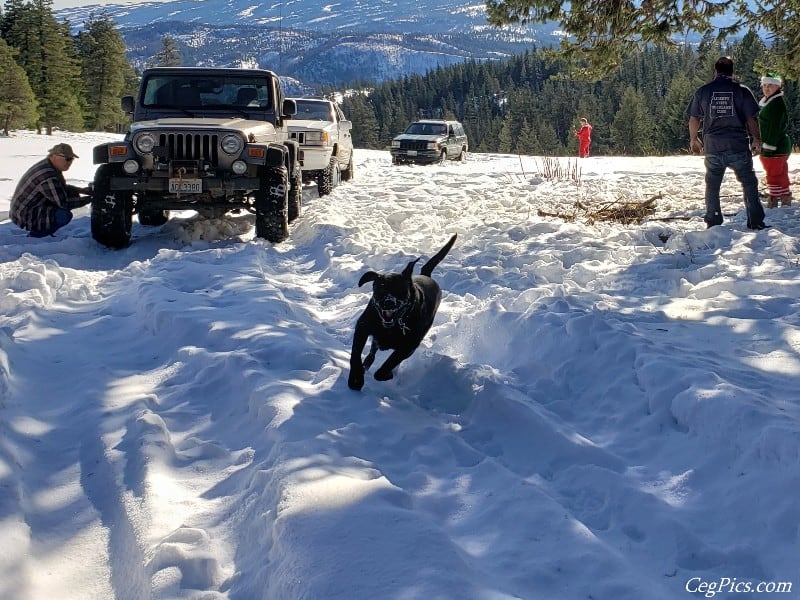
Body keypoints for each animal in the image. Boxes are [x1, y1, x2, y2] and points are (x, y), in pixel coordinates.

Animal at [348, 232, 460, 392]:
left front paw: (386, 375)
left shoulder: (408, 346)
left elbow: (387, 365)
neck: (393, 326)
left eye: (400, 290)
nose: (389, 302)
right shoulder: (363, 327)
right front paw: (356, 378)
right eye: (380, 289)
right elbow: (355, 355)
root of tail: (427, 275)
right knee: (372, 351)